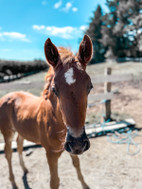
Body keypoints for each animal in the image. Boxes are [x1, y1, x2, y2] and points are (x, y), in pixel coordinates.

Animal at [0, 34, 93, 188]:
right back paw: (13, 182)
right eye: (54, 89)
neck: (55, 121)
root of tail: (7, 96)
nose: (78, 143)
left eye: (90, 86)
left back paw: (24, 169)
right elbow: (54, 181)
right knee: (8, 154)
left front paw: (85, 185)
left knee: (19, 145)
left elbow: (76, 163)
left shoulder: (70, 148)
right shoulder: (51, 154)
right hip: (7, 133)